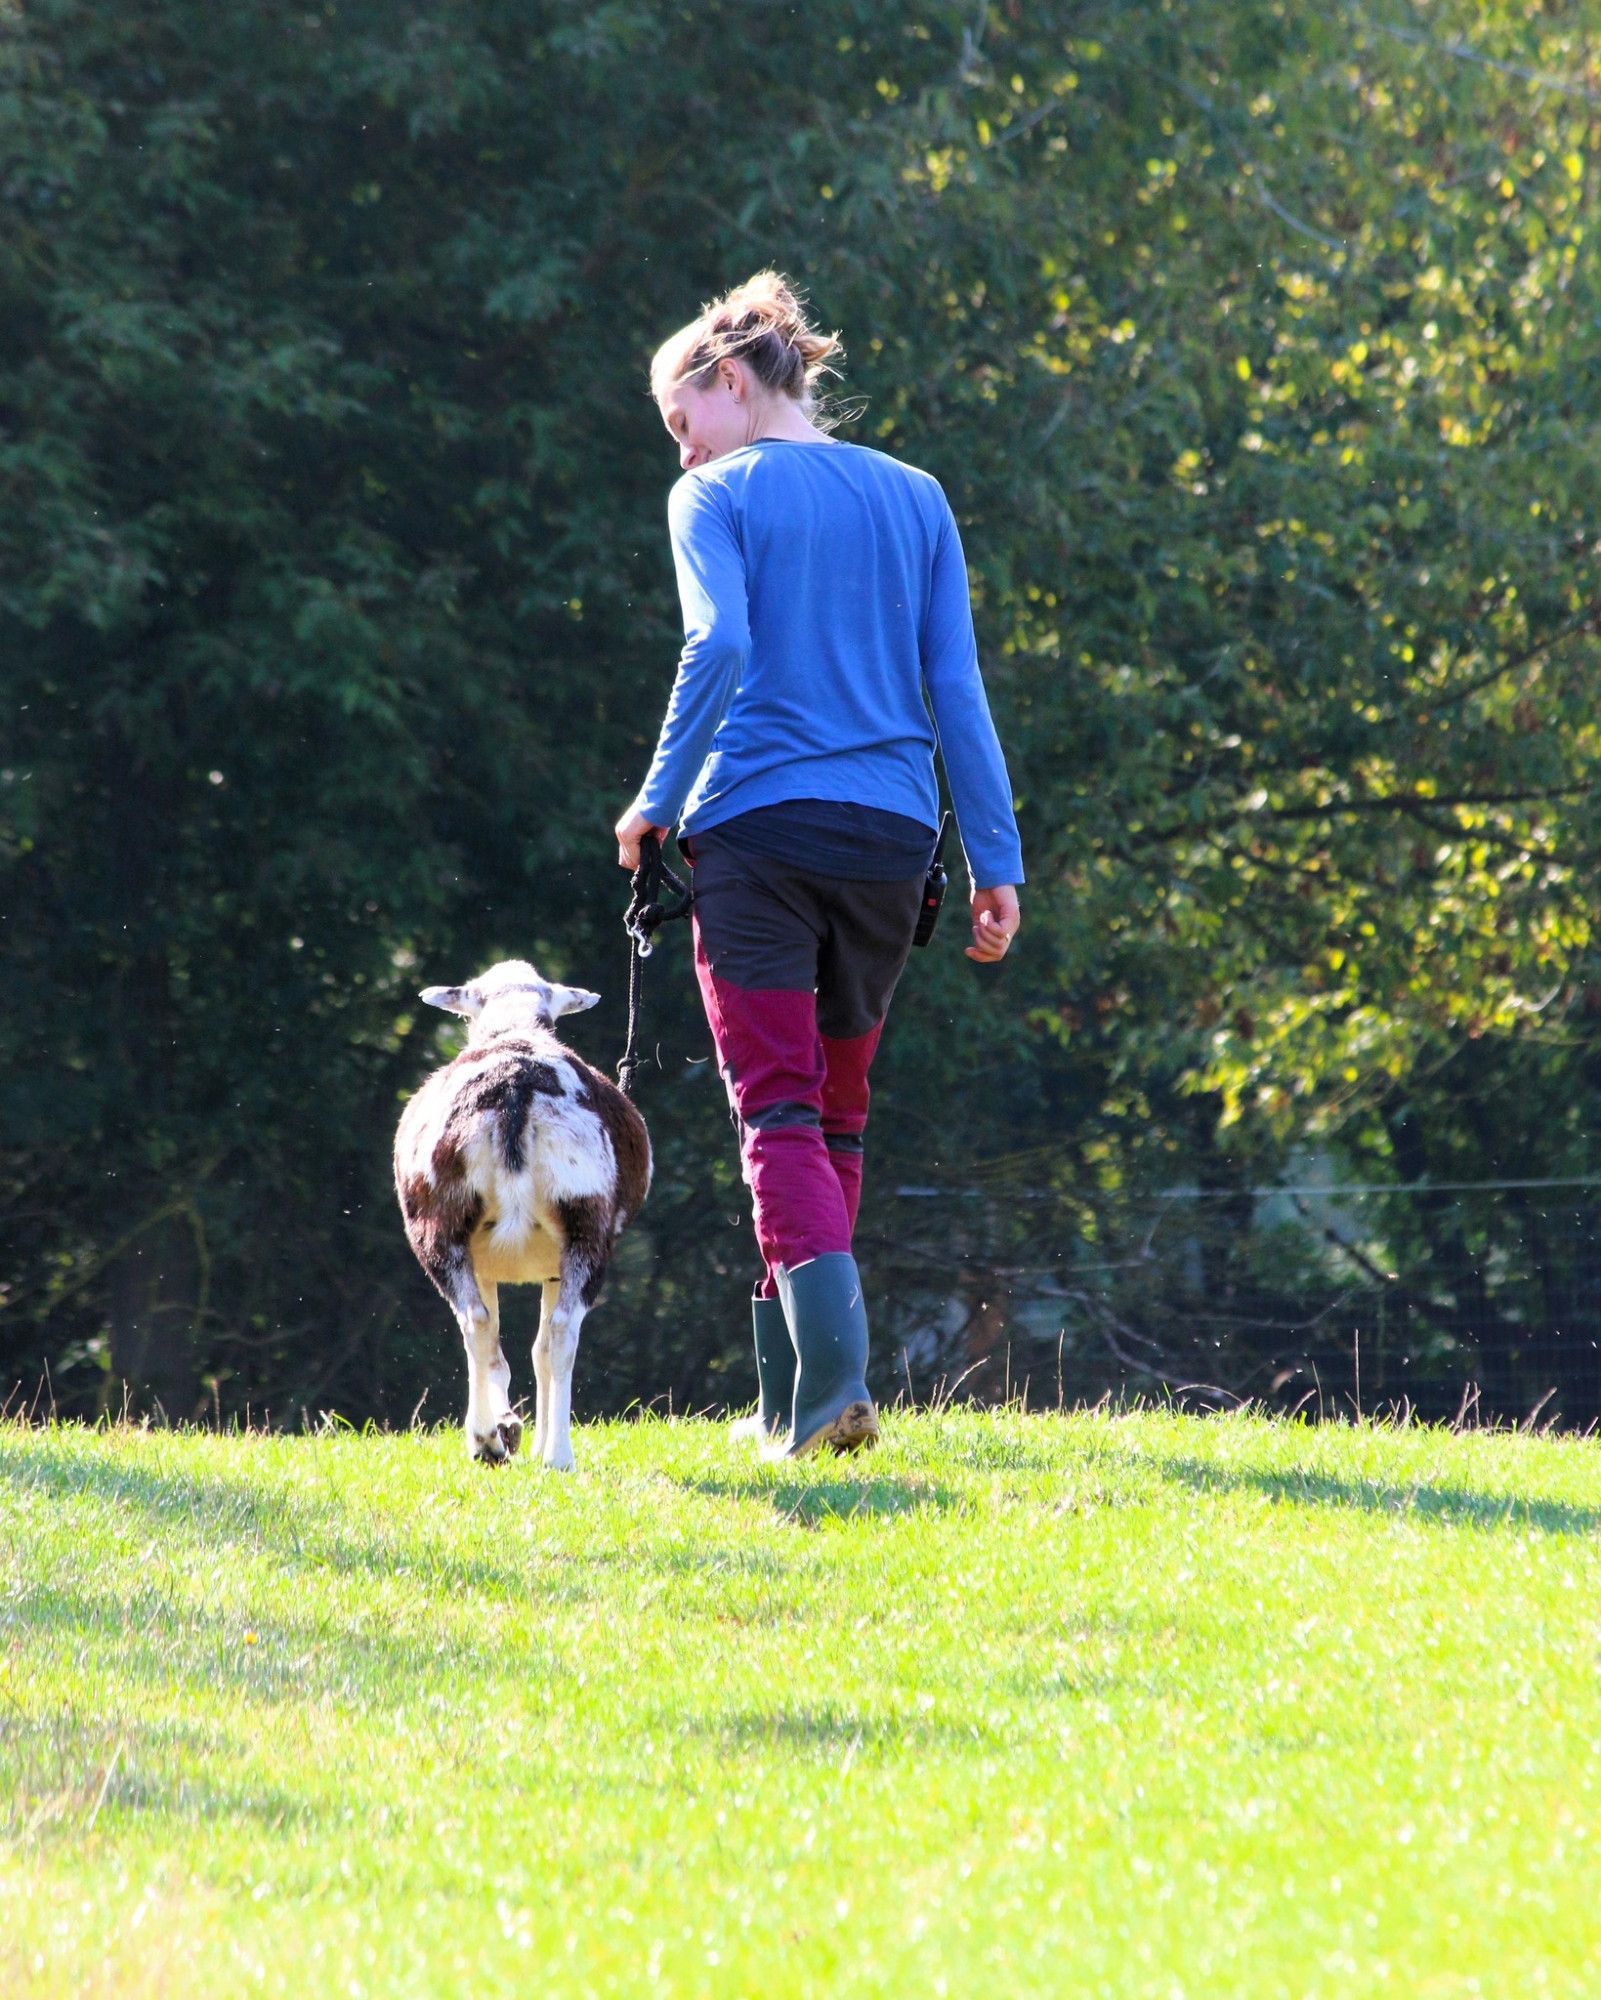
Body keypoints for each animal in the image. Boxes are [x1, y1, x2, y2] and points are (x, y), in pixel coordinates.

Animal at [394, 960, 648, 1480]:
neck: (514, 1025)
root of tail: (515, 1086)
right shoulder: (528, 1266)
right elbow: (530, 1347)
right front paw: (514, 1431)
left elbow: (518, 1346)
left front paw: (505, 1431)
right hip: (580, 1223)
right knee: (548, 1331)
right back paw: (545, 1452)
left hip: (443, 1225)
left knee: (485, 1324)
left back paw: (499, 1442)